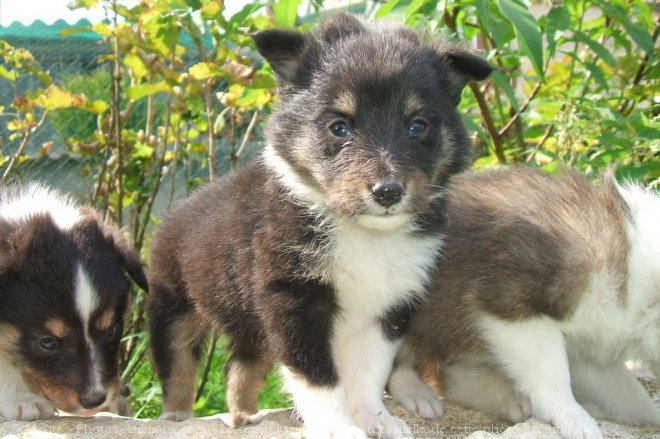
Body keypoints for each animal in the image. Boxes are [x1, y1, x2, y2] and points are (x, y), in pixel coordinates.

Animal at [148, 13, 490, 439]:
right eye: (339, 127)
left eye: (418, 125)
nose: (388, 192)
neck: (364, 233)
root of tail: (177, 212)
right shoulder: (294, 300)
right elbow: (319, 378)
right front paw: (338, 428)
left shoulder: (390, 304)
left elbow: (370, 372)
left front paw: (376, 418)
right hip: (173, 305)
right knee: (178, 365)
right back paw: (176, 417)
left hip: (251, 323)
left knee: (241, 369)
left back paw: (244, 418)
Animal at [390, 168, 660, 439]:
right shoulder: (511, 304)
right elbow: (550, 371)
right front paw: (574, 419)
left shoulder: (590, 344)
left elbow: (626, 392)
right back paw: (417, 394)